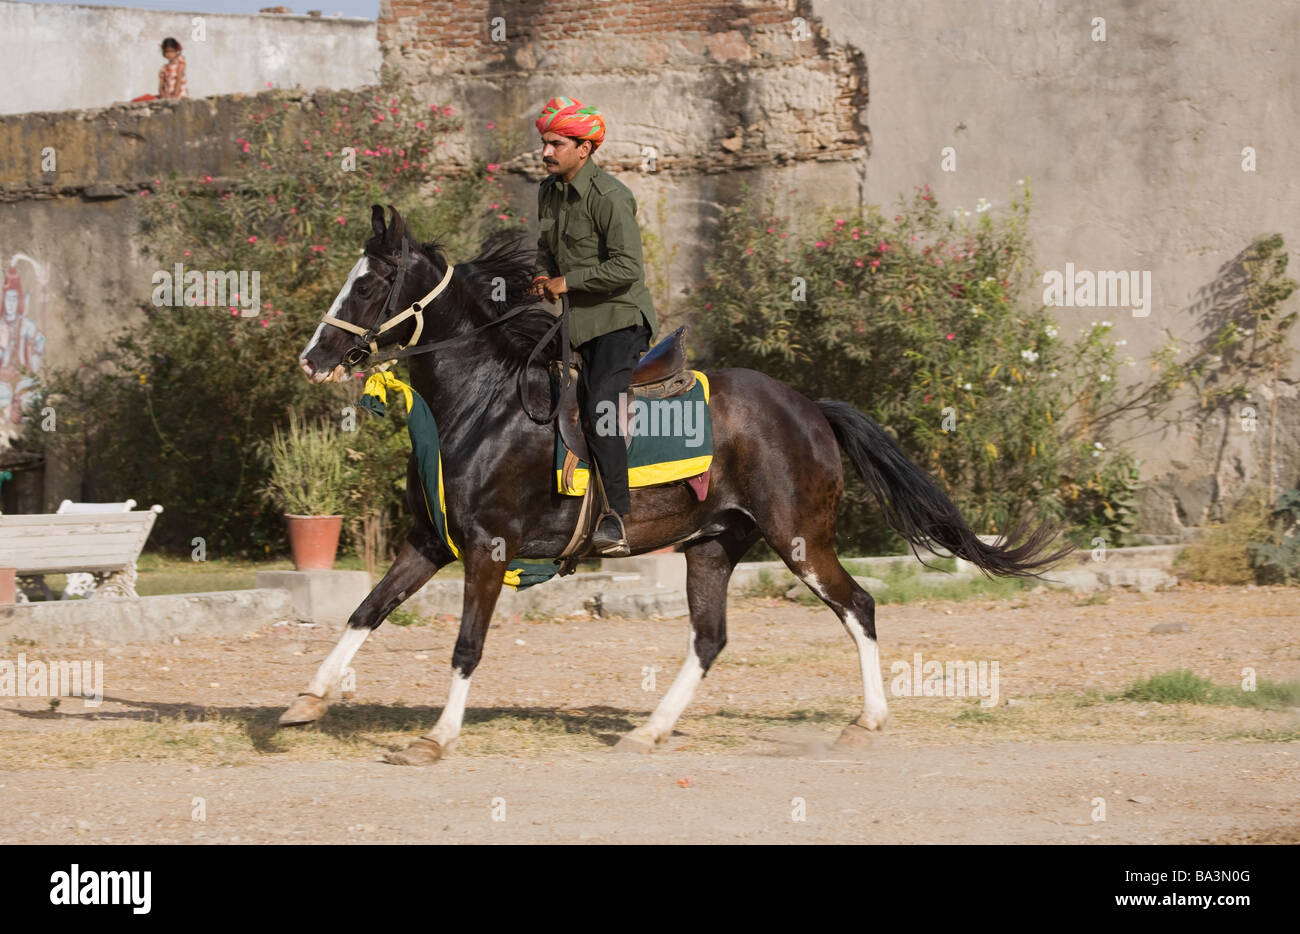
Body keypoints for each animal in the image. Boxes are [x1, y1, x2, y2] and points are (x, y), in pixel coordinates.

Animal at [282, 206, 1066, 770]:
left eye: (369, 284)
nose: (312, 358)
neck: (482, 401)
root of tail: (811, 407)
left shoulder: (488, 548)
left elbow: (467, 645)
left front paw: (435, 739)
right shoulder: (430, 542)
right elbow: (365, 611)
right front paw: (308, 699)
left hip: (800, 539)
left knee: (859, 606)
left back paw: (866, 722)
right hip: (713, 545)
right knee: (710, 639)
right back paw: (649, 730)